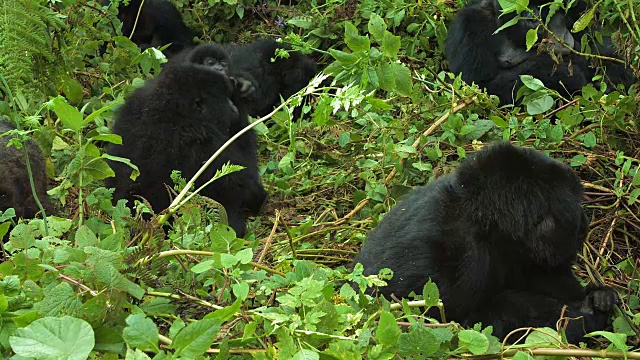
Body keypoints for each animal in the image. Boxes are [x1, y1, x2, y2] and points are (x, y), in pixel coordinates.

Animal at [444, 0, 636, 103]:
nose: (531, 16)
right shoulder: (469, 23)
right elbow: (477, 87)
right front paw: (563, 75)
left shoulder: (579, 7)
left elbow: (610, 55)